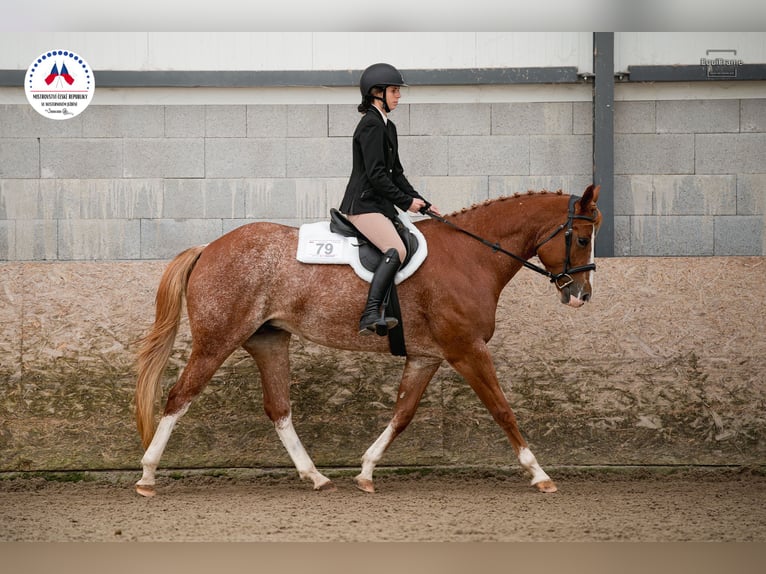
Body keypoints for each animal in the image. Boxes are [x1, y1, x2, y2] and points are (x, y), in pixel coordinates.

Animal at [134, 184, 602, 497]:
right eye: (581, 238)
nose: (581, 296)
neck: (472, 256)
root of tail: (208, 247)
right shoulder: (467, 350)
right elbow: (503, 410)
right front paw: (539, 474)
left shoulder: (427, 357)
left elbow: (403, 414)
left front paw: (366, 471)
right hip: (217, 340)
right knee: (179, 397)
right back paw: (147, 476)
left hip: (269, 340)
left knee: (279, 409)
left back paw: (316, 476)